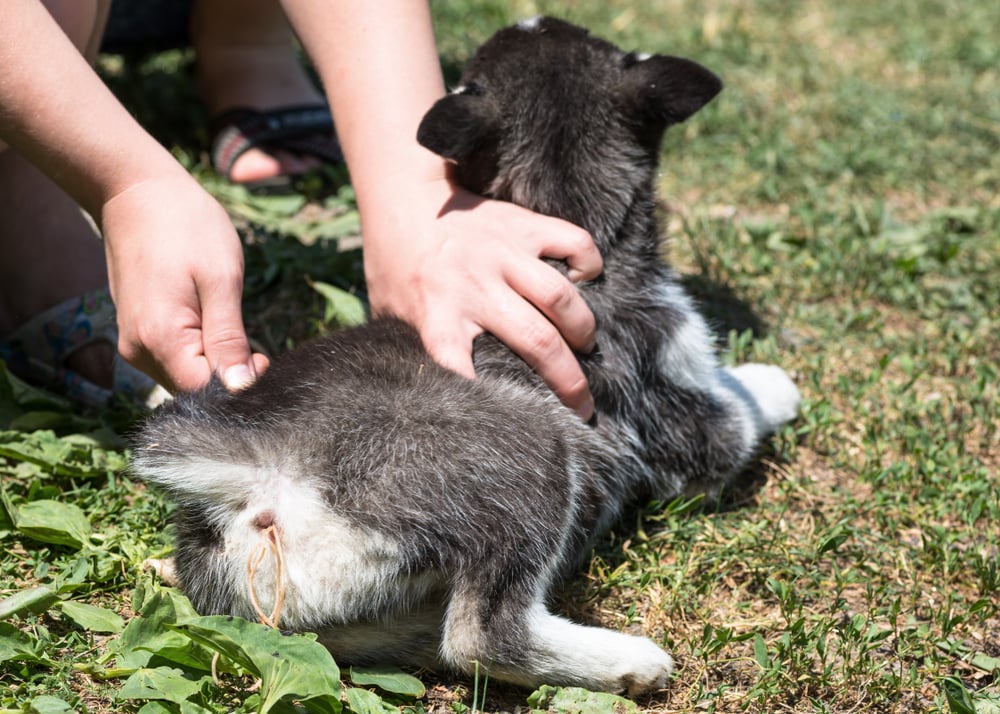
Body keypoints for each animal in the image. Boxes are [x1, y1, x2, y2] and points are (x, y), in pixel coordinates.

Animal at [135, 16, 804, 696]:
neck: (556, 204)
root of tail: (242, 468)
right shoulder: (677, 400)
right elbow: (741, 410)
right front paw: (775, 383)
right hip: (532, 457)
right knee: (481, 639)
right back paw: (628, 663)